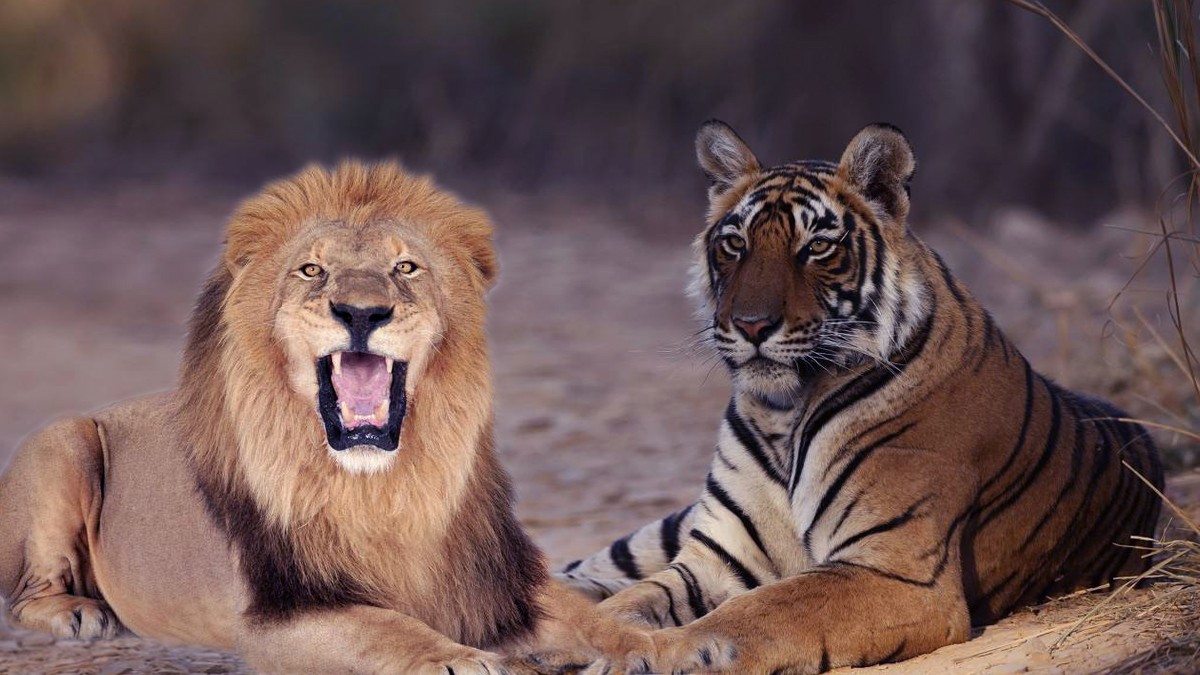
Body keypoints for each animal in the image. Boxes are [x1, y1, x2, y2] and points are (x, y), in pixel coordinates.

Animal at [554, 121, 1165, 673]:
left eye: (817, 247)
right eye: (735, 244)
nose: (751, 325)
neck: (782, 413)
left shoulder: (896, 570)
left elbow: (758, 611)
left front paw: (651, 655)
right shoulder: (712, 558)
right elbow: (628, 601)